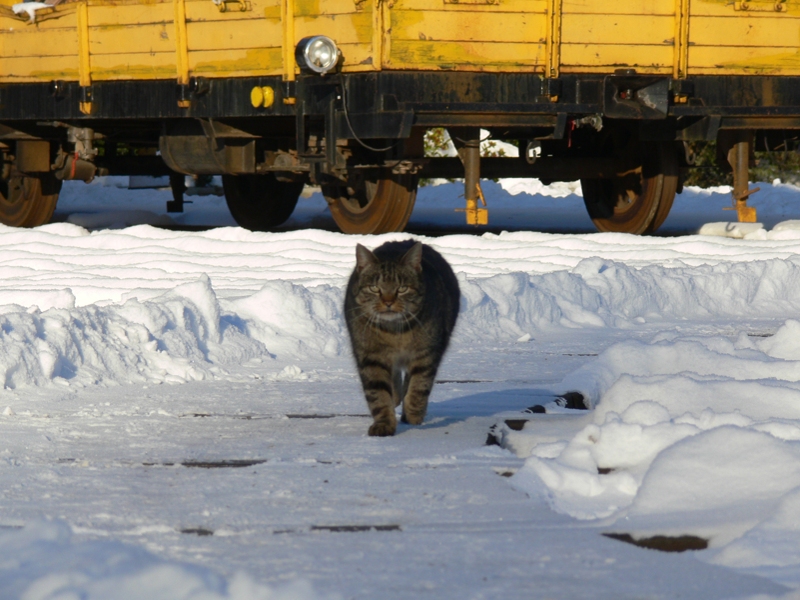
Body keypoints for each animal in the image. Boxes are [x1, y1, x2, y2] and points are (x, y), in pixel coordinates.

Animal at [340, 240, 460, 436]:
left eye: (402, 288)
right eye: (374, 288)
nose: (388, 302)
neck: (395, 333)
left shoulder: (426, 354)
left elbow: (419, 386)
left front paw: (413, 414)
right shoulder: (370, 357)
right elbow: (378, 394)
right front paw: (384, 424)